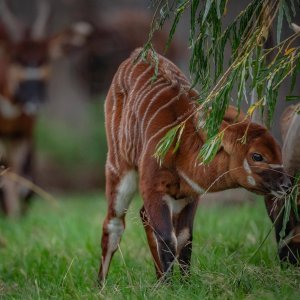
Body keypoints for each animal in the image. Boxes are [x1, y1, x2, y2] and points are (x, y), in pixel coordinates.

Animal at [0, 0, 91, 217]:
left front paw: (17, 219)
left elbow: (20, 182)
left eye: (46, 58)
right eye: (15, 58)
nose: (36, 100)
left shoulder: (23, 133)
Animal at [99, 47, 292, 282]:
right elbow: (167, 238)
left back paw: (157, 278)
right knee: (114, 223)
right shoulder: (153, 187)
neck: (182, 147)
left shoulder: (190, 196)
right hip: (118, 166)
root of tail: (136, 54)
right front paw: (169, 286)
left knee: (143, 215)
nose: (287, 185)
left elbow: (184, 239)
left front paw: (183, 283)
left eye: (279, 152)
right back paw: (100, 285)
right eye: (257, 156)